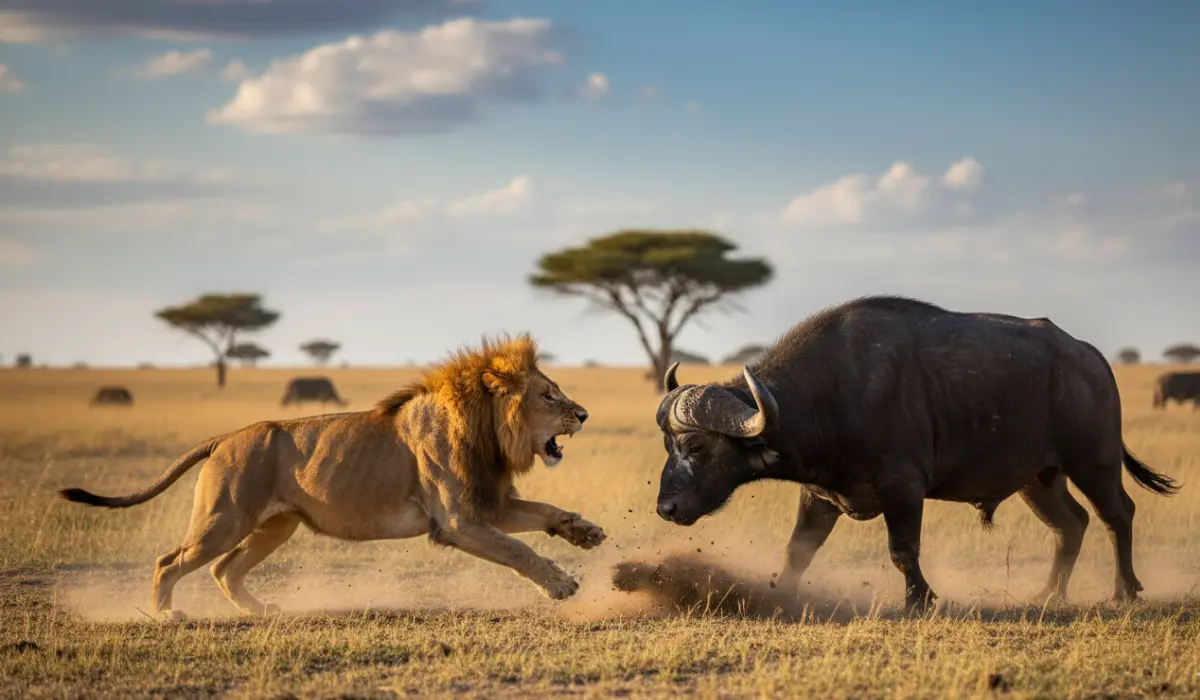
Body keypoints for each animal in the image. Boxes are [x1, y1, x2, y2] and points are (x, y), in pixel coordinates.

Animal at [58, 334, 606, 621]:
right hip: (223, 520)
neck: (487, 431)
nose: (583, 414)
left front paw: (584, 532)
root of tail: (225, 438)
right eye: (548, 396)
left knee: (225, 570)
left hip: (275, 527)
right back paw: (166, 614)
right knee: (169, 560)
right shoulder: (456, 521)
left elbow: (544, 514)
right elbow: (519, 550)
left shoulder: (488, 503)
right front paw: (561, 584)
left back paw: (263, 611)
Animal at [653, 296, 1179, 611]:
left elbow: (903, 550)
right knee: (1071, 524)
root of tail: (1088, 357)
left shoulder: (902, 489)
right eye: (667, 445)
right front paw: (780, 595)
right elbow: (798, 550)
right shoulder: (820, 496)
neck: (830, 394)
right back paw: (1050, 592)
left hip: (1094, 461)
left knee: (1117, 513)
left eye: (696, 445)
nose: (666, 508)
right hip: (1040, 477)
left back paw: (1125, 590)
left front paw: (920, 600)